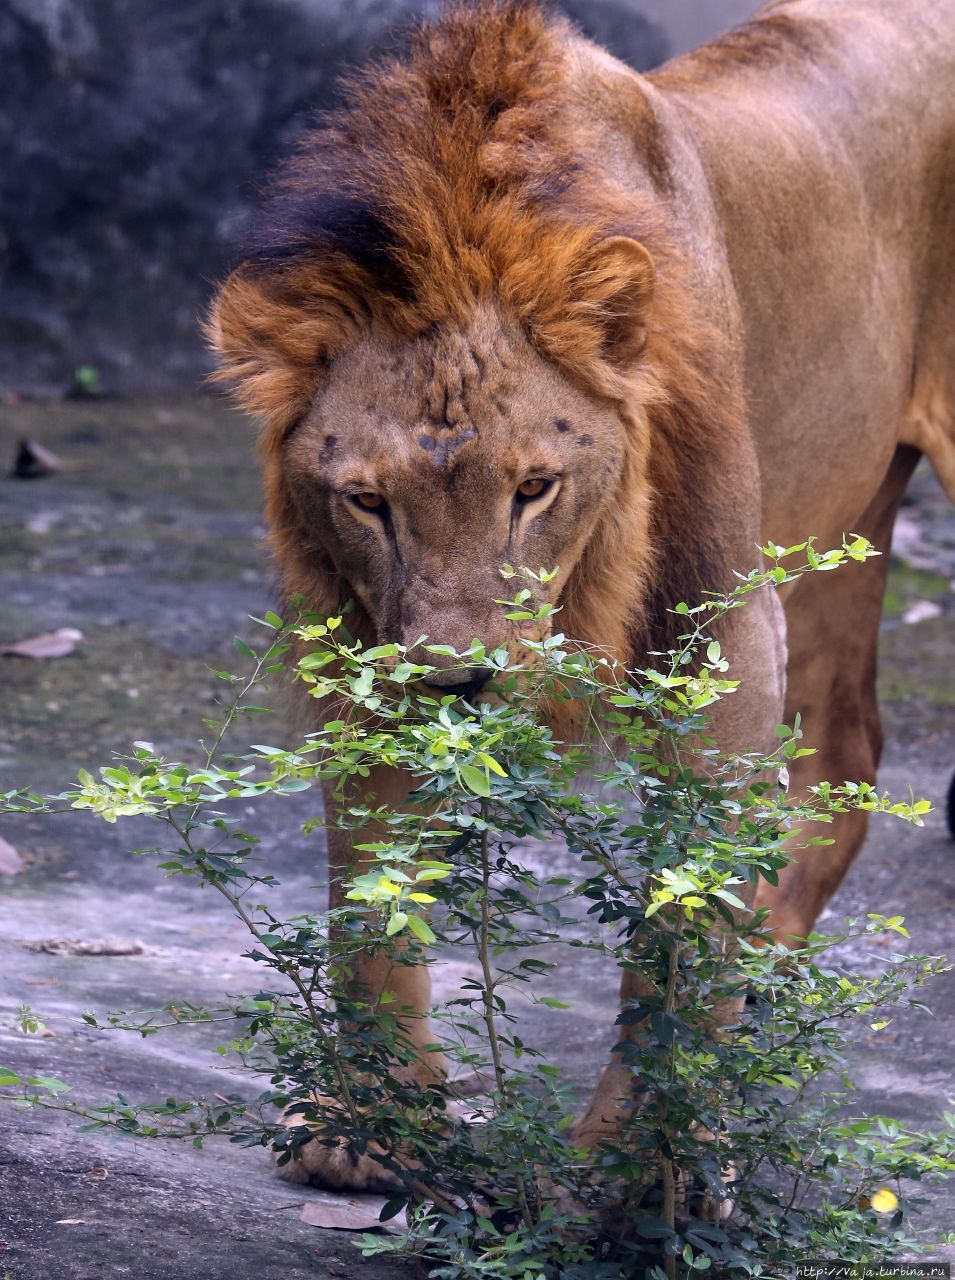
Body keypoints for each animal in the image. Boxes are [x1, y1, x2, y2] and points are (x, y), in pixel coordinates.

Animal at [208, 5, 952, 1192]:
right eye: (367, 499)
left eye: (534, 487)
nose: (459, 679)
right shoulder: (369, 651)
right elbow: (367, 885)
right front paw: (369, 1118)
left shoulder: (722, 632)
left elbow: (683, 912)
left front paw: (655, 1162)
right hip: (852, 513)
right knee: (846, 747)